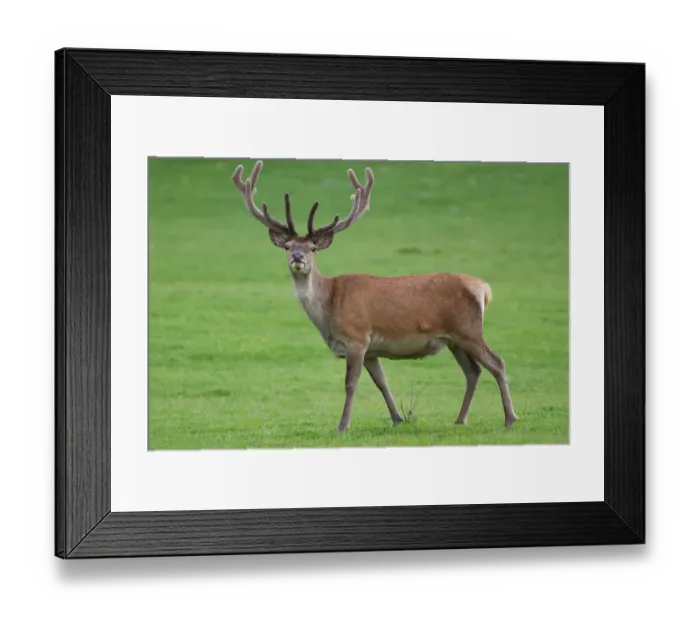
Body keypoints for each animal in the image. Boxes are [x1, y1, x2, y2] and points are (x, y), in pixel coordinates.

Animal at [231, 161, 518, 433]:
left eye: (313, 248)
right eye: (288, 246)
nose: (298, 258)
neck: (329, 308)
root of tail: (483, 288)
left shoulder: (357, 338)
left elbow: (351, 383)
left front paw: (342, 426)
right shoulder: (371, 349)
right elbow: (381, 382)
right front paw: (397, 418)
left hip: (468, 329)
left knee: (497, 363)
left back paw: (510, 419)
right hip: (453, 339)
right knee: (473, 371)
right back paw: (460, 420)